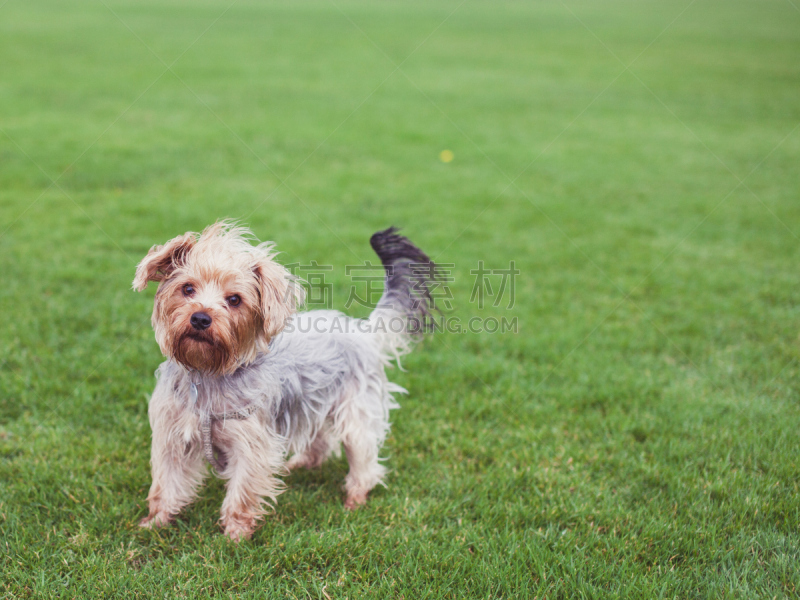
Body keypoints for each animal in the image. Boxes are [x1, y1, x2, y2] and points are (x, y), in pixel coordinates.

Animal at [134, 223, 440, 540]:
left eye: (234, 300)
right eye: (187, 289)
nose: (200, 318)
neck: (206, 372)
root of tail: (362, 330)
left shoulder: (251, 444)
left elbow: (241, 492)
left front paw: (235, 536)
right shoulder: (171, 437)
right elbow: (165, 485)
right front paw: (155, 523)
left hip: (357, 415)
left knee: (363, 461)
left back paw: (354, 498)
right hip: (312, 402)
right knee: (320, 441)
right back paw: (301, 463)